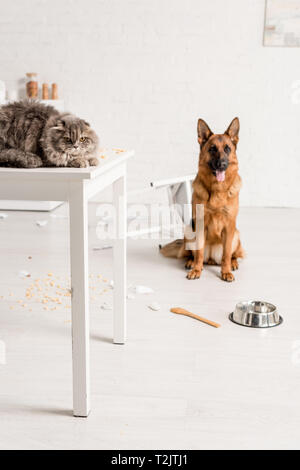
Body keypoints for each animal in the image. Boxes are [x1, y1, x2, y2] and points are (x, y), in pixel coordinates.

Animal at [162, 117, 244, 282]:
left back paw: (233, 263)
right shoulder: (200, 225)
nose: (222, 164)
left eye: (227, 149)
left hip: (236, 235)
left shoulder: (229, 226)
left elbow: (226, 254)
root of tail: (212, 258)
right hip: (189, 231)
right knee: (193, 254)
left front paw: (226, 271)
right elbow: (199, 252)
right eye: (212, 149)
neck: (218, 190)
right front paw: (196, 270)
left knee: (232, 255)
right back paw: (191, 262)